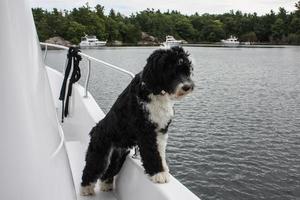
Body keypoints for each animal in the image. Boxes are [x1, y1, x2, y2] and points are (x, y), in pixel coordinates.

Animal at [81, 46, 196, 195]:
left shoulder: (160, 129)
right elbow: (151, 152)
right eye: (171, 71)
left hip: (117, 156)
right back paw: (86, 190)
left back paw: (107, 186)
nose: (187, 86)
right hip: (99, 152)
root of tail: (95, 129)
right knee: (91, 169)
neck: (155, 90)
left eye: (185, 70)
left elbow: (160, 150)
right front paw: (158, 174)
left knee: (108, 173)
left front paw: (164, 169)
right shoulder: (145, 130)